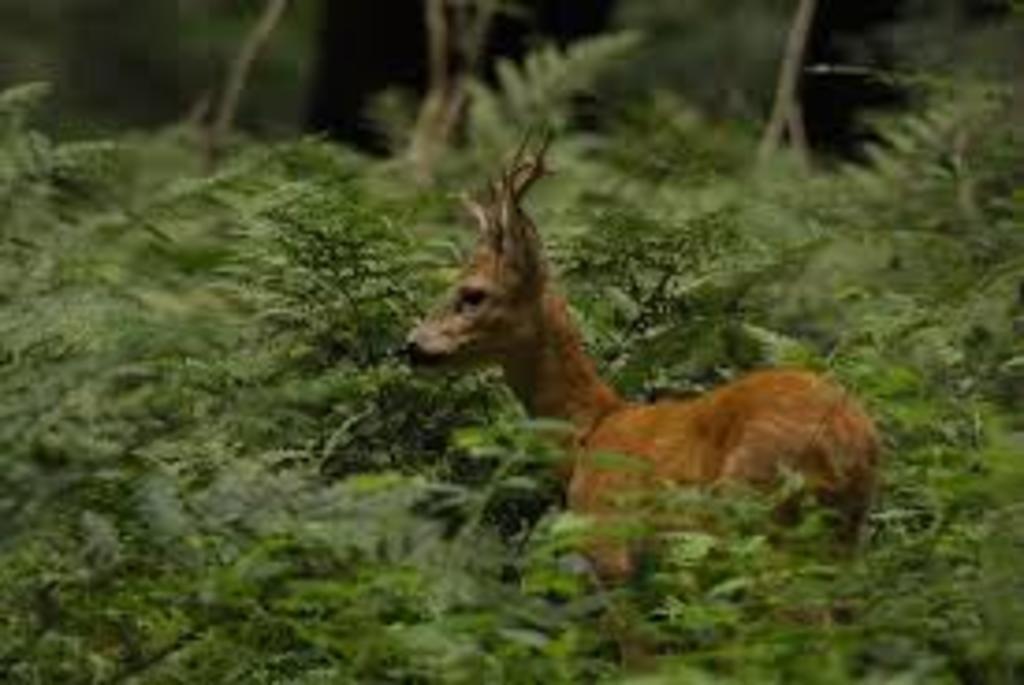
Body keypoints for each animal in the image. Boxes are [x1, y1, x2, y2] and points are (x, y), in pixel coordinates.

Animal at [405, 138, 880, 652]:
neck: (589, 432)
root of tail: (851, 436)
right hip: (842, 536)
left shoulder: (612, 554)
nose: (411, 345)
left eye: (472, 294)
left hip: (760, 518)